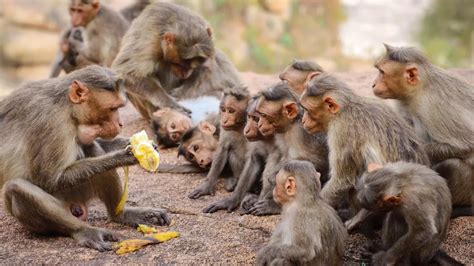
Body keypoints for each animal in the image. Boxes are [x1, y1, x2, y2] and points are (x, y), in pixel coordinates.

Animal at [0, 65, 170, 250]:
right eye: (112, 109)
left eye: (118, 108)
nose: (120, 124)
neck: (66, 108)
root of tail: (76, 208)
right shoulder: (51, 122)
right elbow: (50, 179)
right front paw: (121, 157)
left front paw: (137, 144)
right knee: (16, 188)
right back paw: (84, 230)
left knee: (91, 148)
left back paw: (121, 215)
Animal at [112, 2, 241, 120]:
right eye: (182, 62)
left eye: (197, 61)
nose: (186, 72)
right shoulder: (149, 41)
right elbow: (125, 72)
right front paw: (168, 102)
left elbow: (208, 67)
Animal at [244, 83, 330, 216]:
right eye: (260, 115)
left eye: (264, 115)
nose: (260, 125)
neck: (292, 124)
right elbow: (281, 154)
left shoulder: (300, 133)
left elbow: (318, 161)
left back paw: (274, 205)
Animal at [374, 44, 474, 218]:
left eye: (382, 72)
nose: (373, 84)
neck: (420, 89)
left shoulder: (435, 106)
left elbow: (466, 144)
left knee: (452, 165)